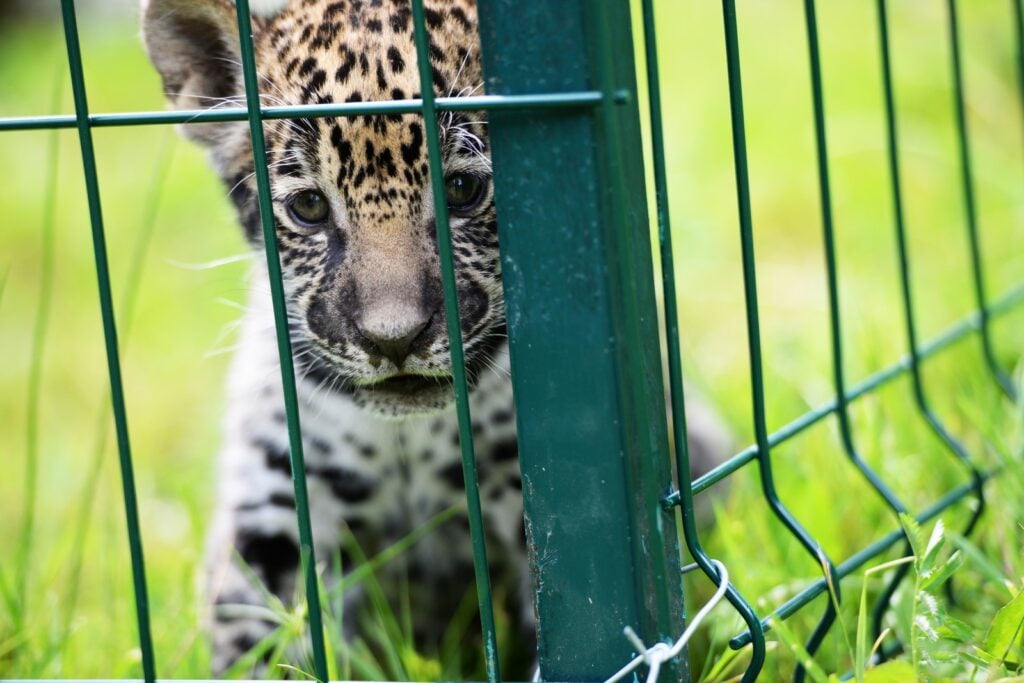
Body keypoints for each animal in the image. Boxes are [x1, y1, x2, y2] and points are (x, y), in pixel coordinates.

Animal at [140, 0, 730, 677]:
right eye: (309, 207)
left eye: (463, 191)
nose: (393, 340)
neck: (408, 442)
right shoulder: (274, 514)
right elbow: (260, 643)